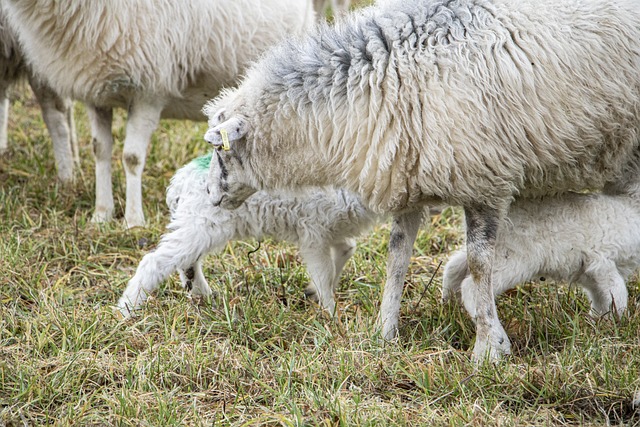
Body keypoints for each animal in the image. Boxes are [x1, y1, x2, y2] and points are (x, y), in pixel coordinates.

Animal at [115, 153, 380, 318]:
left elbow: (347, 249)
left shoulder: (334, 230)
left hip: (198, 225)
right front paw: (332, 315)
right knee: (155, 262)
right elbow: (324, 274)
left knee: (186, 261)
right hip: (203, 224)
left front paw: (312, 293)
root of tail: (181, 180)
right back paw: (127, 311)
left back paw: (203, 297)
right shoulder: (313, 232)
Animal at [202, 0, 640, 362]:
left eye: (221, 150)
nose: (210, 196)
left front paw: (488, 349)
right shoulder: (408, 182)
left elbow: (480, 264)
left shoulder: (485, 181)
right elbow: (396, 259)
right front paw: (384, 334)